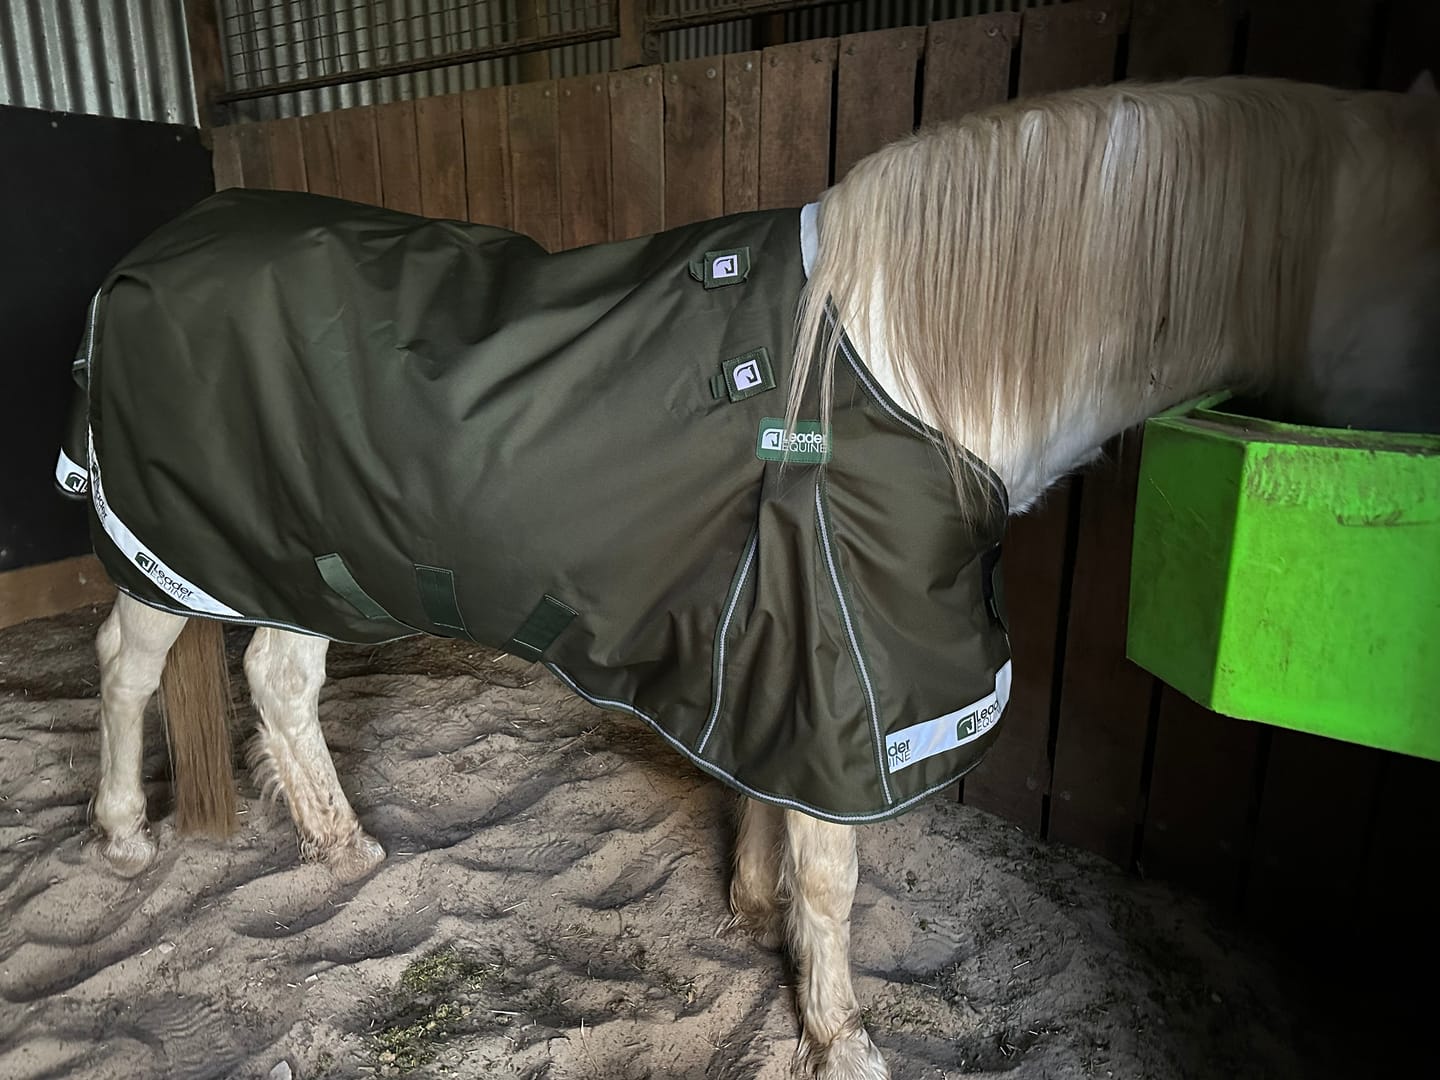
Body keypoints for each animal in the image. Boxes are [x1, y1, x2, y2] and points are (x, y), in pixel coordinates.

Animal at [76, 75, 1440, 1080]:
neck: (902, 366)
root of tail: (152, 250)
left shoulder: (782, 651)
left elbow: (769, 809)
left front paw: (746, 907)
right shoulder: (848, 669)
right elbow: (834, 876)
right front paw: (840, 1037)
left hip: (297, 564)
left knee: (278, 679)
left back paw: (345, 852)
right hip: (177, 550)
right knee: (130, 666)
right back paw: (127, 843)